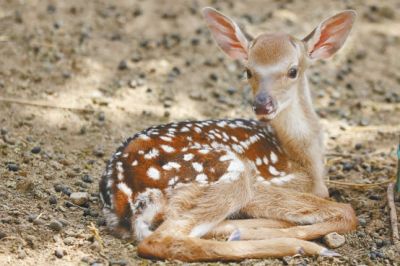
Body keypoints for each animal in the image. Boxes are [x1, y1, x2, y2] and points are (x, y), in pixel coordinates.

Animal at [100, 6, 360, 262]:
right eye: (248, 71)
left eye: (293, 71)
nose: (262, 104)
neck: (304, 160)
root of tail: (124, 198)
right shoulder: (268, 183)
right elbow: (347, 212)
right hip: (228, 171)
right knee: (159, 240)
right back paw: (300, 245)